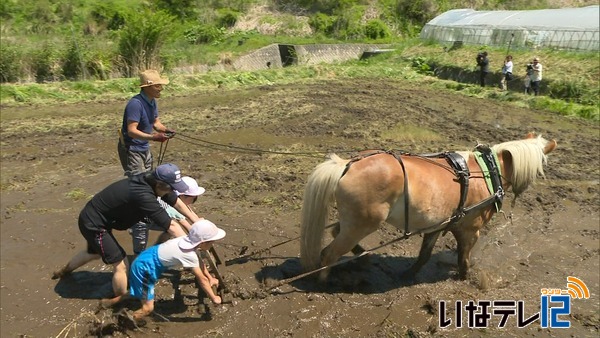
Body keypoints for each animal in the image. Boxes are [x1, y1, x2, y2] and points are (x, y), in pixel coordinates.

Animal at [300, 133, 556, 282]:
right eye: (541, 166)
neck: (485, 172)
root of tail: (348, 164)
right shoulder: (470, 230)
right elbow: (464, 256)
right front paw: (466, 277)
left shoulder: (437, 225)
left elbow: (424, 255)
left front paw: (408, 274)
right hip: (362, 223)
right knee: (330, 252)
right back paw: (323, 280)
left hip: (354, 222)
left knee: (336, 233)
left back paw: (362, 257)